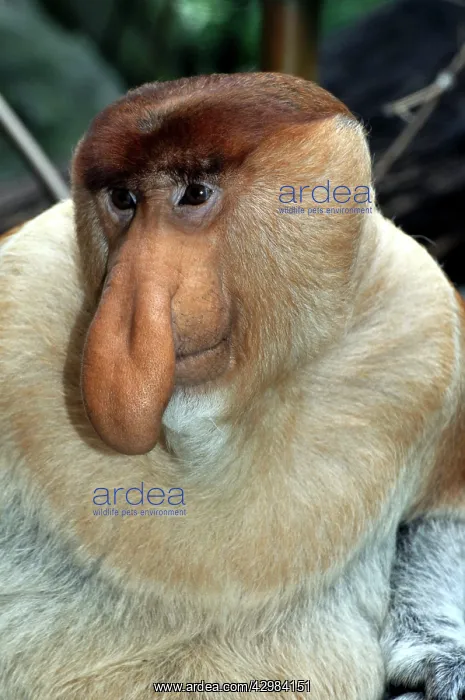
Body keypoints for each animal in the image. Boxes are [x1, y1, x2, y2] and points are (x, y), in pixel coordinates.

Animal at [0, 72, 465, 700]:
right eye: (123, 200)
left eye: (195, 193)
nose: (127, 321)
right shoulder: (21, 292)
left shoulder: (423, 320)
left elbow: (443, 519)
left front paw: (443, 663)